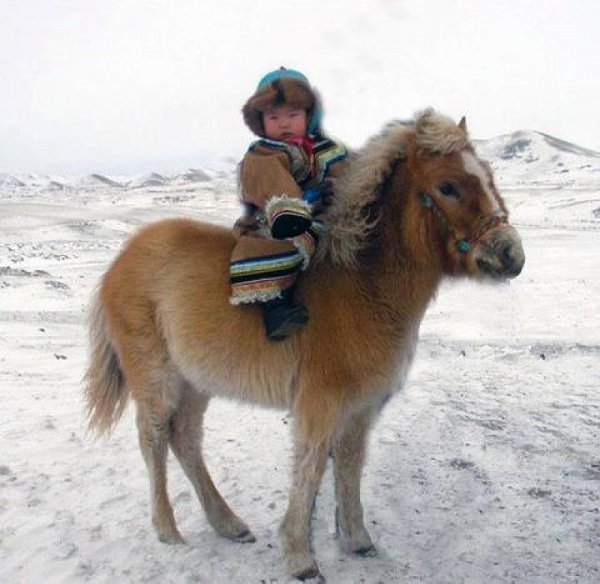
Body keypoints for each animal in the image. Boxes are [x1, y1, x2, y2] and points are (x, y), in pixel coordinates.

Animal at [85, 110, 525, 580]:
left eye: (489, 176)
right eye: (447, 187)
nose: (511, 255)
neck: (364, 286)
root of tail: (121, 260)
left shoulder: (361, 408)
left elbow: (349, 465)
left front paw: (357, 539)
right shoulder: (319, 404)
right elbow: (311, 468)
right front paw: (300, 556)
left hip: (195, 383)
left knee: (184, 440)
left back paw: (228, 524)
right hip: (157, 378)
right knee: (152, 440)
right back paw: (168, 530)